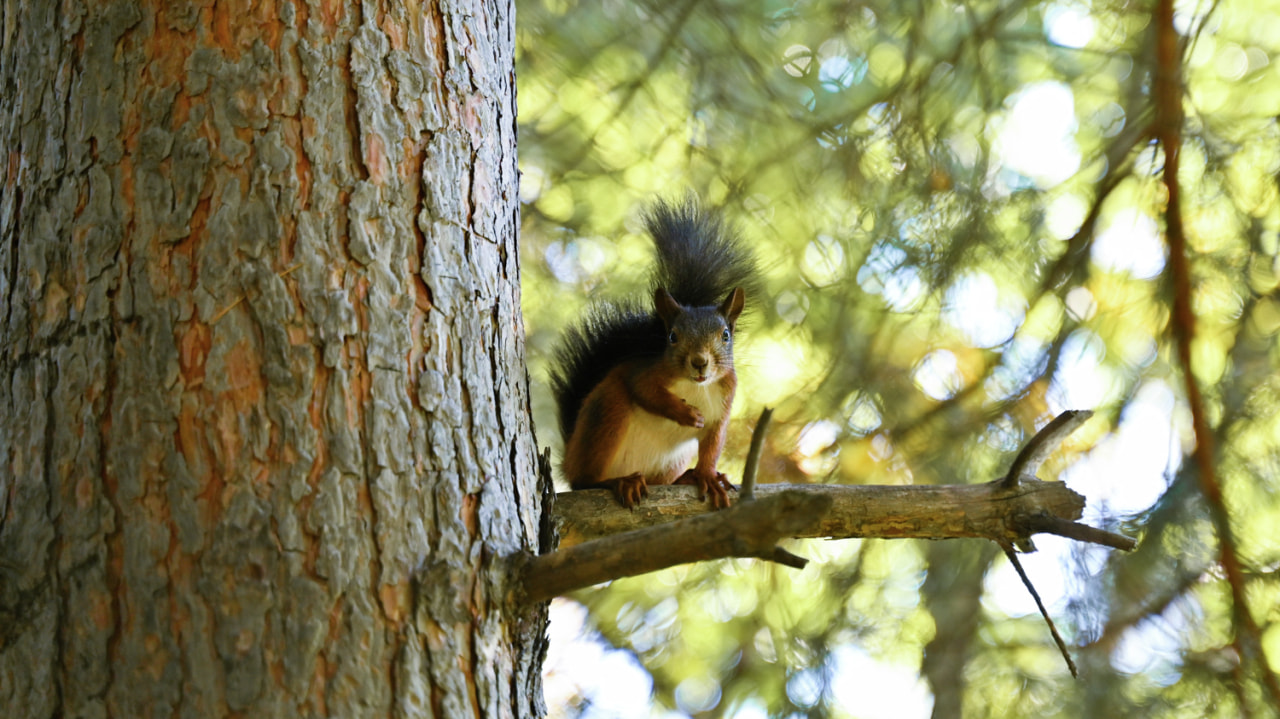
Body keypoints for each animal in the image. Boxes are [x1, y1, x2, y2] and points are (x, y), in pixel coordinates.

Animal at [550, 198, 757, 506]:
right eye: (672, 336)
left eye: (726, 335)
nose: (699, 362)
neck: (696, 387)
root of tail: (569, 460)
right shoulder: (645, 372)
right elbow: (644, 390)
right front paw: (684, 414)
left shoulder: (724, 400)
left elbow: (713, 443)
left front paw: (707, 475)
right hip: (607, 413)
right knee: (584, 480)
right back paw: (617, 481)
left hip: (668, 461)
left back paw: (685, 478)